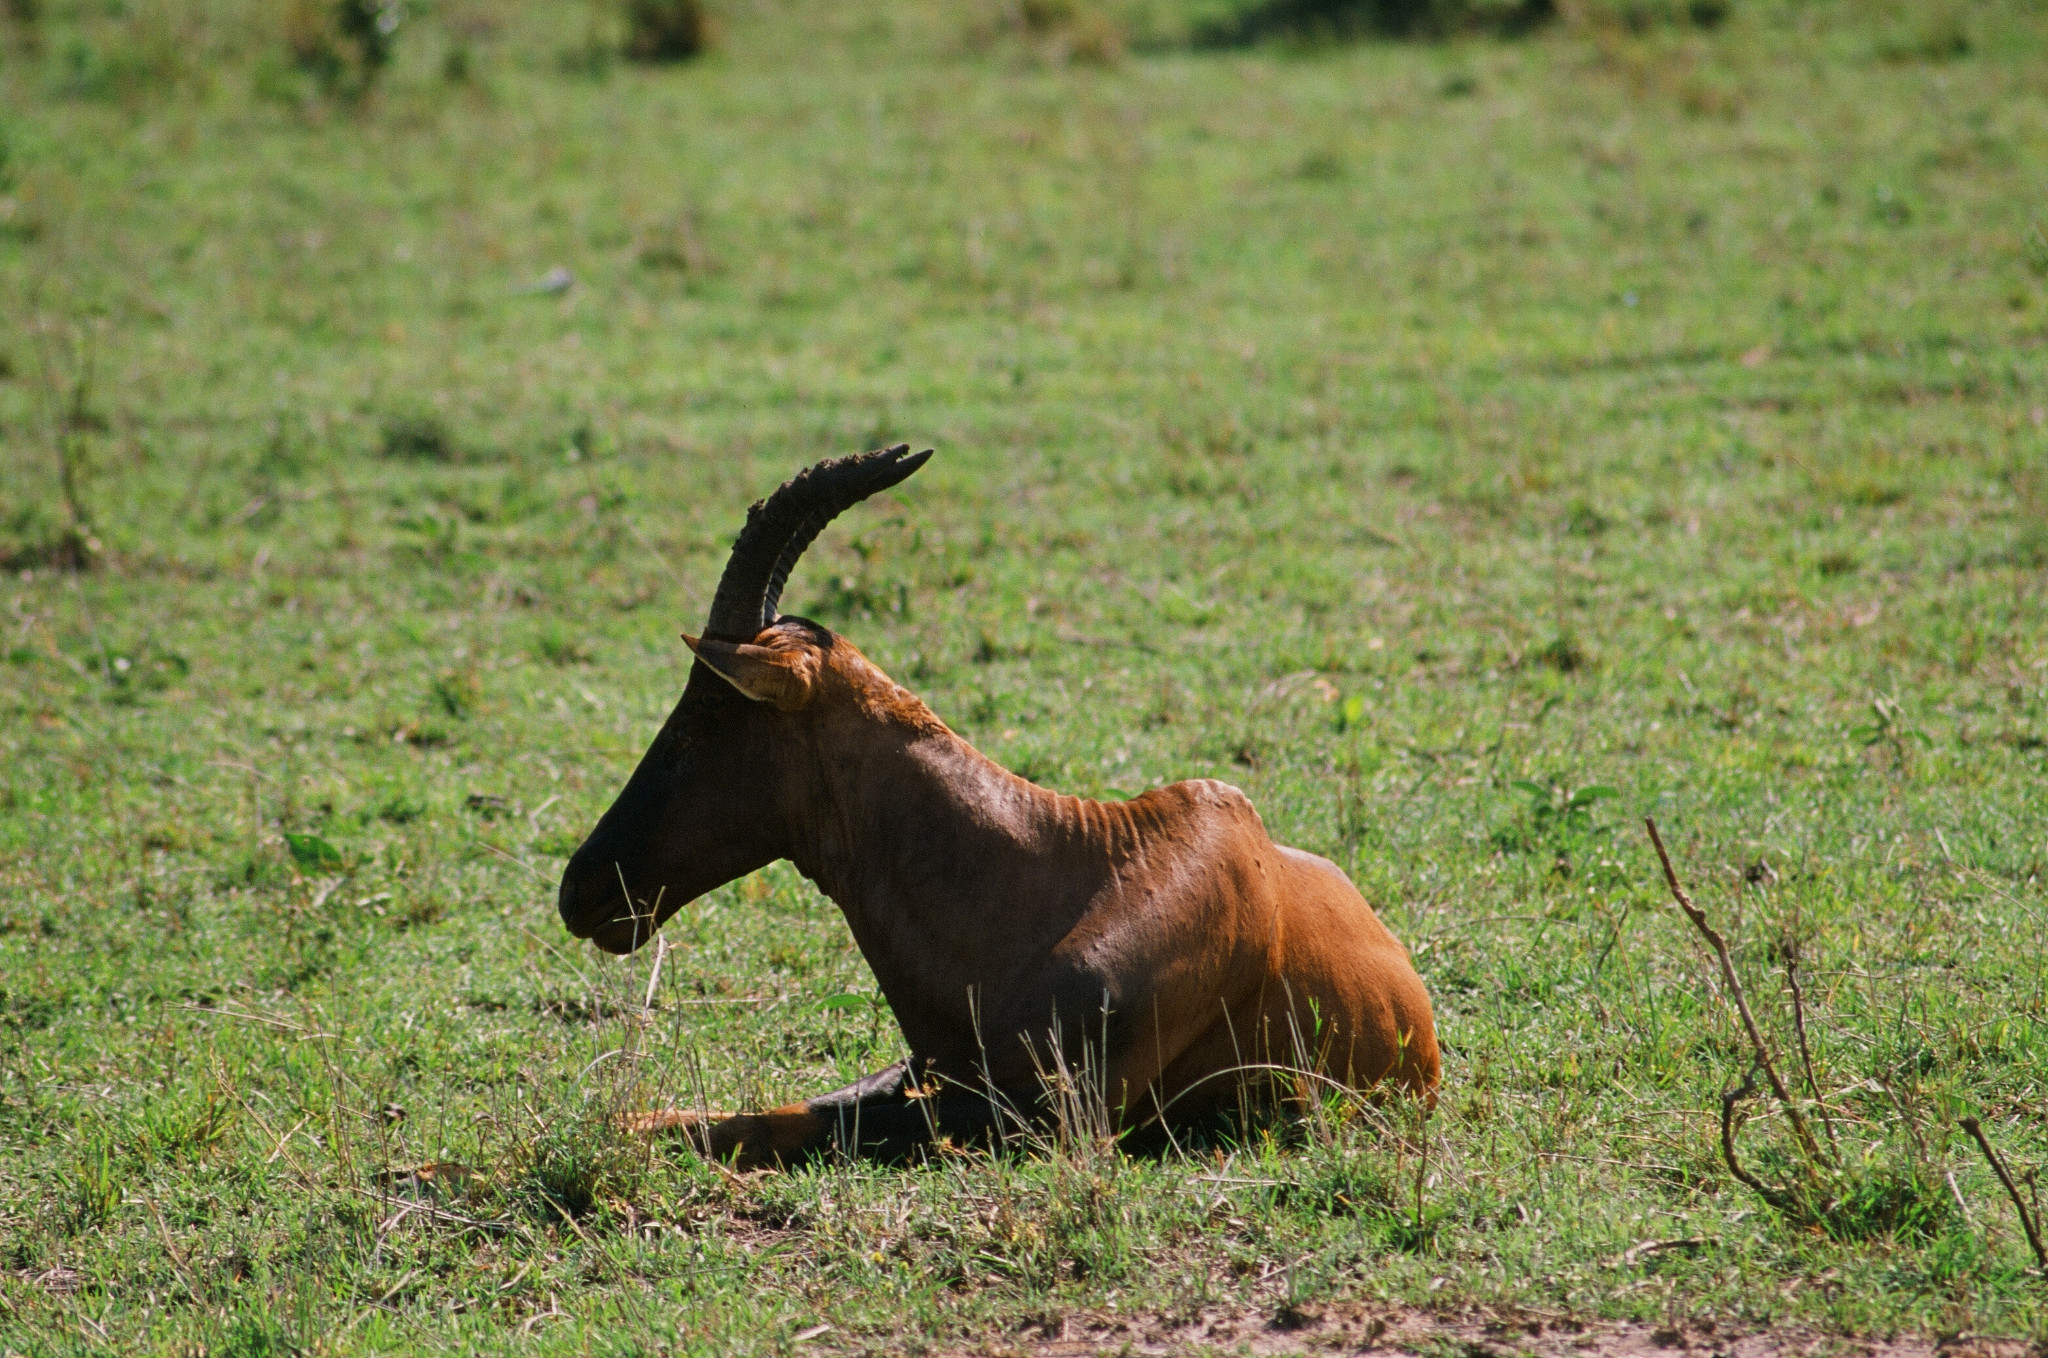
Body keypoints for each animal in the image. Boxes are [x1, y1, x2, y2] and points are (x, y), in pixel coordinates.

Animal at [552, 446, 1433, 1171]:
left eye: (706, 711)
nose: (581, 888)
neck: (1075, 874)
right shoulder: (924, 1077)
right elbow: (750, 1116)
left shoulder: (1052, 1122)